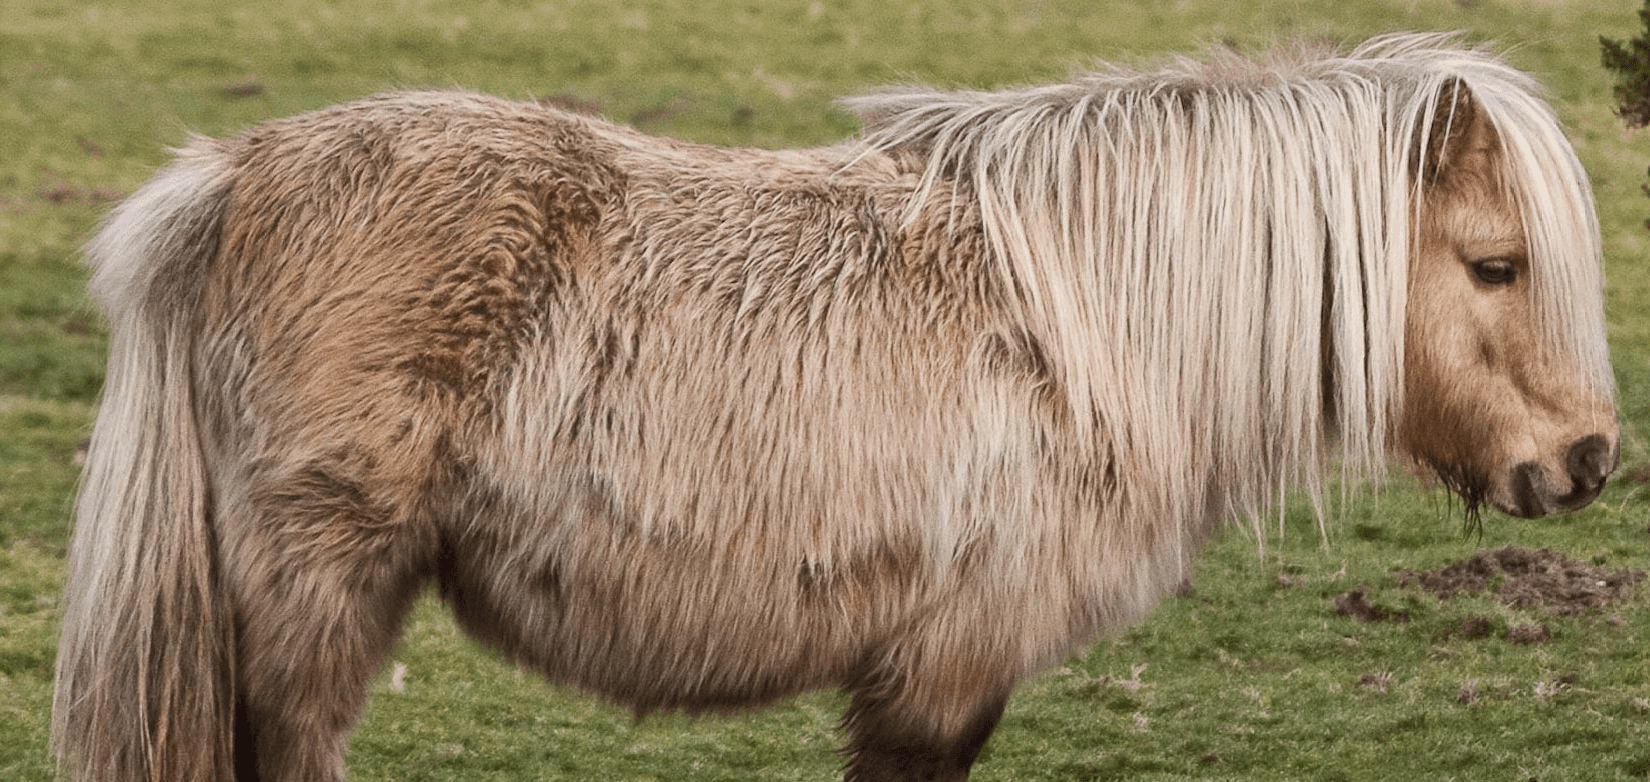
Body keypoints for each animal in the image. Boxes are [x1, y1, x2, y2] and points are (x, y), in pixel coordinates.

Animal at [54, 32, 1617, 781]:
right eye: (1495, 263)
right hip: (316, 601)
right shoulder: (944, 670)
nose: (1588, 459)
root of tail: (229, 178)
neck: (1087, 324)